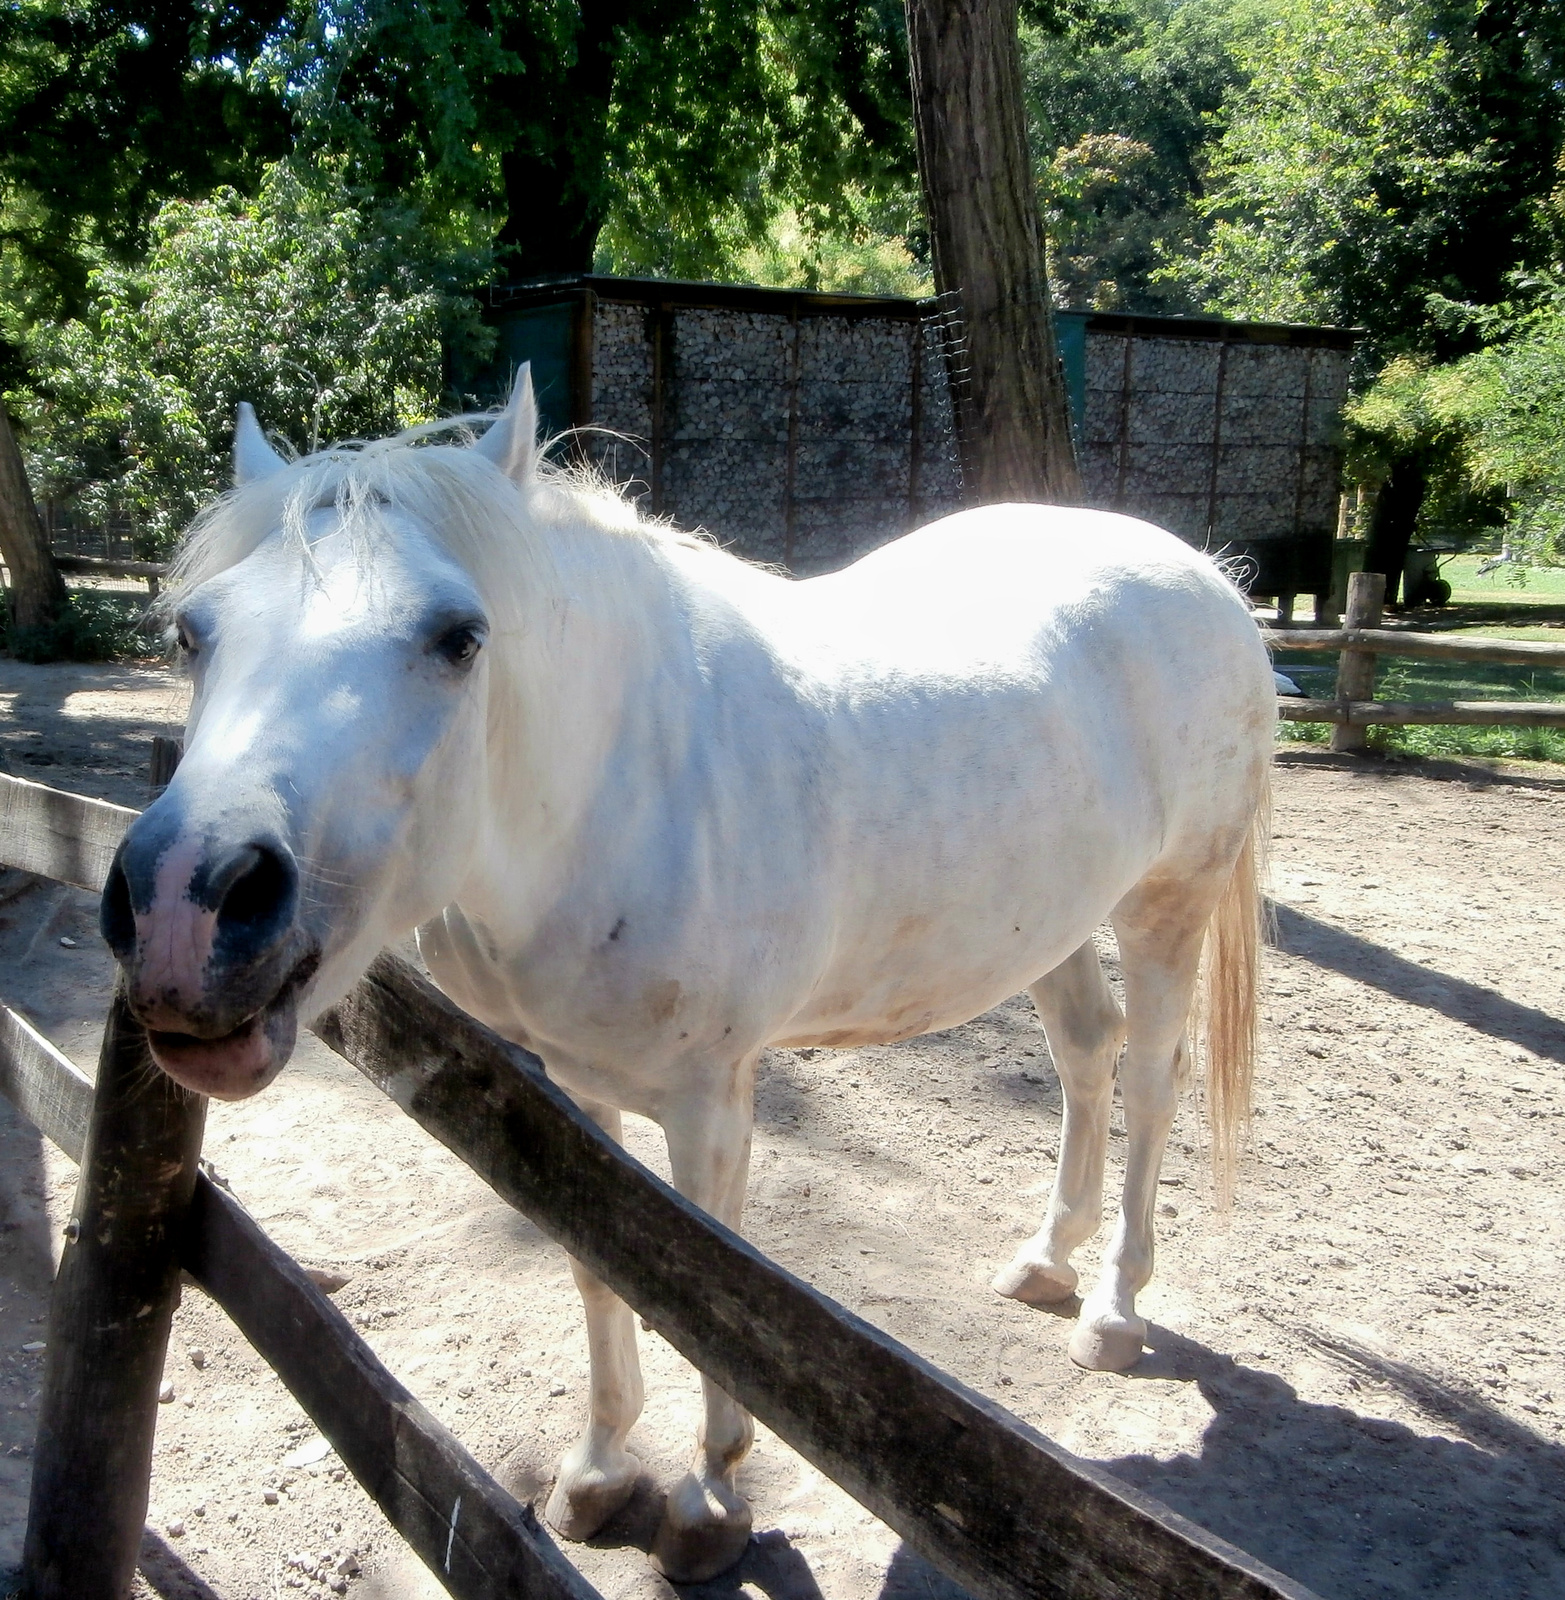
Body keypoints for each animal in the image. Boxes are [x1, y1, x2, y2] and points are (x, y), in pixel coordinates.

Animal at [104, 368, 1267, 1580]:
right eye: (194, 631)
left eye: (458, 636)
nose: (187, 905)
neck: (614, 782)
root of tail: (1205, 577)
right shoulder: (574, 1086)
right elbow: (604, 1263)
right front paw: (598, 1476)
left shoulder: (710, 1099)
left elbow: (712, 1296)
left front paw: (709, 1504)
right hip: (1050, 924)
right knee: (1084, 1052)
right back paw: (1045, 1260)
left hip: (1167, 907)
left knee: (1148, 1083)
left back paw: (1112, 1311)